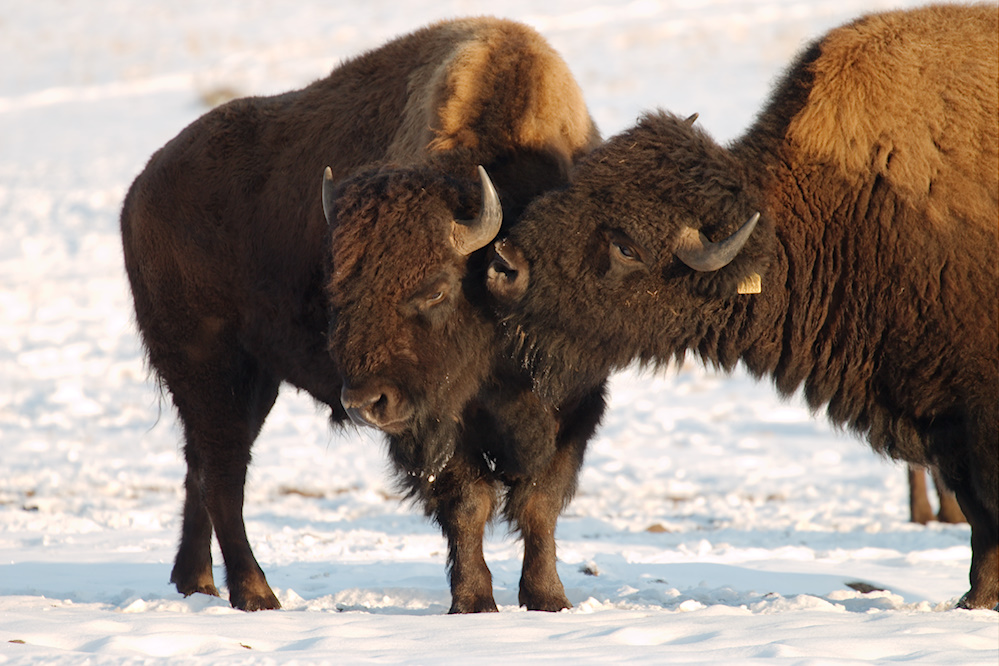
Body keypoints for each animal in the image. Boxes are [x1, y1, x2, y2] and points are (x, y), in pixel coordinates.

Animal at [125, 15, 608, 616]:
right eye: (336, 289)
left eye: (436, 289)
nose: (365, 403)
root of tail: (139, 192)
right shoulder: (434, 422)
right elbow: (469, 502)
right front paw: (475, 603)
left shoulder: (574, 404)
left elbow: (540, 502)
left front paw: (549, 600)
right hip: (212, 370)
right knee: (222, 474)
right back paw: (256, 594)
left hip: (251, 381)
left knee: (201, 467)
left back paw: (197, 583)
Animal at [490, 5, 999, 608]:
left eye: (627, 247)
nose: (505, 266)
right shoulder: (947, 419)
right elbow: (979, 517)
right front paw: (976, 600)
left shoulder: (977, 416)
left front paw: (977, 601)